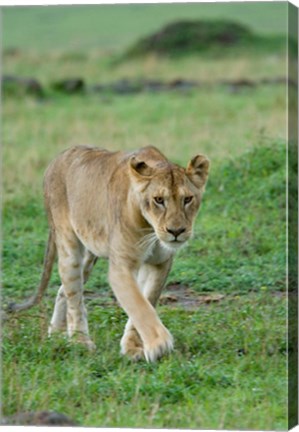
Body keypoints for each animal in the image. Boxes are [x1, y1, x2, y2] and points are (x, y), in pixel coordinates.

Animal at [9, 145, 211, 362]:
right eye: (158, 200)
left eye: (187, 199)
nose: (176, 231)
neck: (151, 229)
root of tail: (59, 157)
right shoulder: (121, 266)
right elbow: (139, 305)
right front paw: (159, 344)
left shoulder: (160, 263)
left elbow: (147, 299)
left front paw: (132, 347)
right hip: (68, 245)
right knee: (74, 295)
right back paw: (79, 341)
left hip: (89, 255)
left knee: (63, 290)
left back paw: (55, 334)